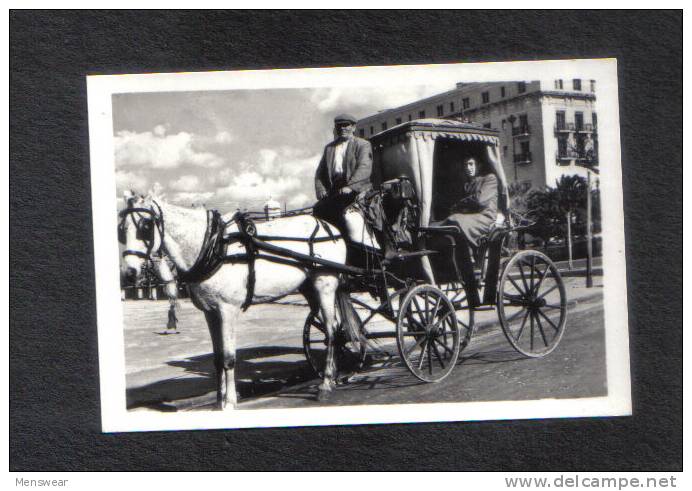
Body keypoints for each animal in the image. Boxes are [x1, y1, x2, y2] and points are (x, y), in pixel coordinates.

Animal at [118, 190, 352, 410]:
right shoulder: (210, 312)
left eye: (146, 226)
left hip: (325, 284)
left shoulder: (227, 310)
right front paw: (218, 401)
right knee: (333, 327)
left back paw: (326, 383)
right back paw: (335, 375)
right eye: (122, 229)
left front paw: (230, 402)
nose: (129, 273)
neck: (215, 246)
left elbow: (229, 357)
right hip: (309, 289)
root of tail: (329, 228)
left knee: (331, 331)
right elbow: (218, 358)